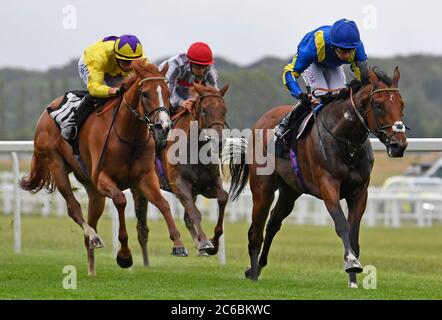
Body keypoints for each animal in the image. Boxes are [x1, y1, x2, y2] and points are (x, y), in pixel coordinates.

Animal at [21, 60, 186, 276]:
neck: (128, 136)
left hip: (91, 188)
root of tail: (44, 115)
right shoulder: (103, 179)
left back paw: (92, 268)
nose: (163, 126)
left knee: (92, 217)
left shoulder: (145, 178)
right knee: (74, 209)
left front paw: (178, 243)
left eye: (167, 92)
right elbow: (120, 200)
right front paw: (124, 255)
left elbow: (163, 204)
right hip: (56, 166)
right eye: (145, 94)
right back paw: (94, 237)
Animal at [131, 82, 230, 260]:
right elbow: (195, 213)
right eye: (204, 110)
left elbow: (223, 198)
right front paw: (205, 242)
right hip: (139, 186)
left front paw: (213, 243)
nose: (218, 142)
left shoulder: (208, 186)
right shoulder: (180, 186)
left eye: (224, 110)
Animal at [231, 67, 408, 288]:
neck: (347, 142)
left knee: (273, 223)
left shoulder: (359, 192)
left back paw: (257, 267)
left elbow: (354, 232)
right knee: (256, 230)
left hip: (290, 191)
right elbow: (341, 224)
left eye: (402, 104)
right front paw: (351, 262)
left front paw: (353, 280)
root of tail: (260, 122)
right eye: (378, 104)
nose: (399, 145)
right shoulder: (328, 186)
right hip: (263, 189)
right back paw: (253, 272)